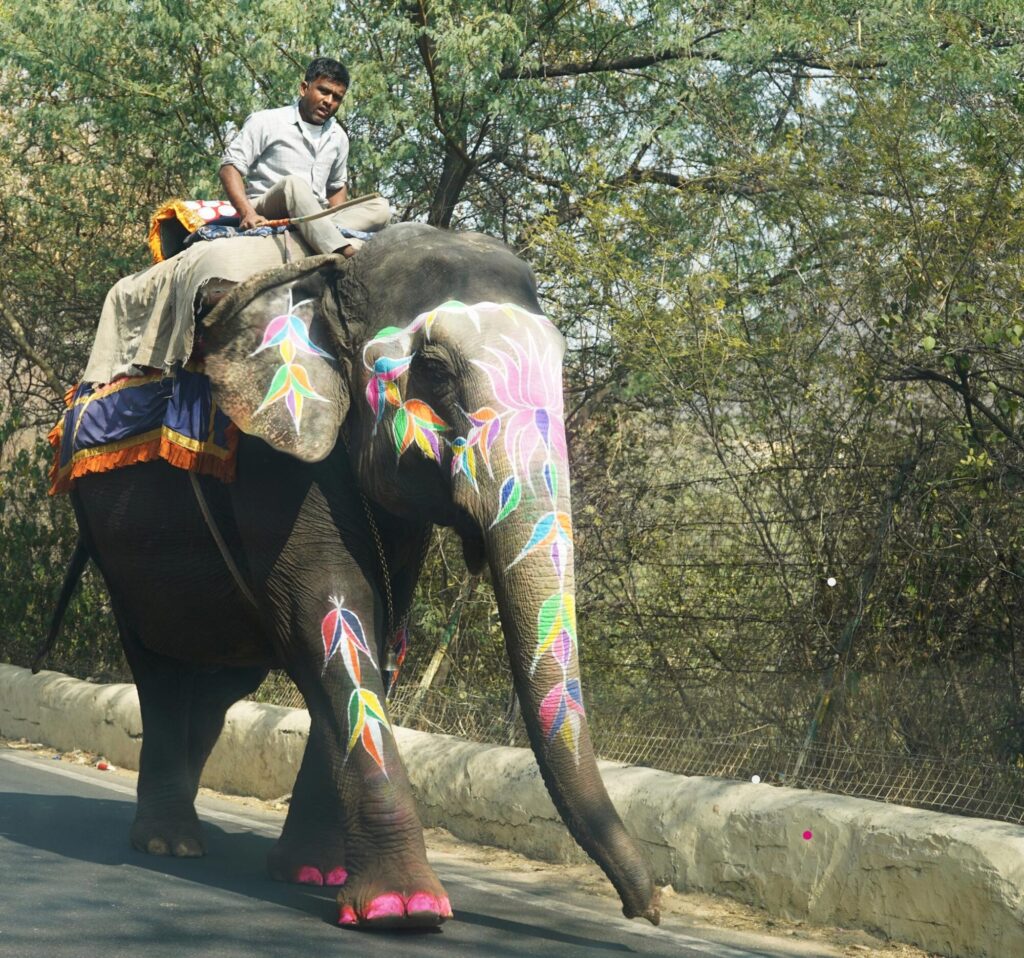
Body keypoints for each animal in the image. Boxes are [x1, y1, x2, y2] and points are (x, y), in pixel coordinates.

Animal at [55, 222, 661, 930]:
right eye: (434, 370)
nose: (647, 909)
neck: (332, 274)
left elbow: (381, 624)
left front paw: (316, 874)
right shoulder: (275, 448)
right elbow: (327, 608)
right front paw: (404, 909)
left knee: (221, 680)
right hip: (110, 545)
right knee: (159, 664)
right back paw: (169, 844)